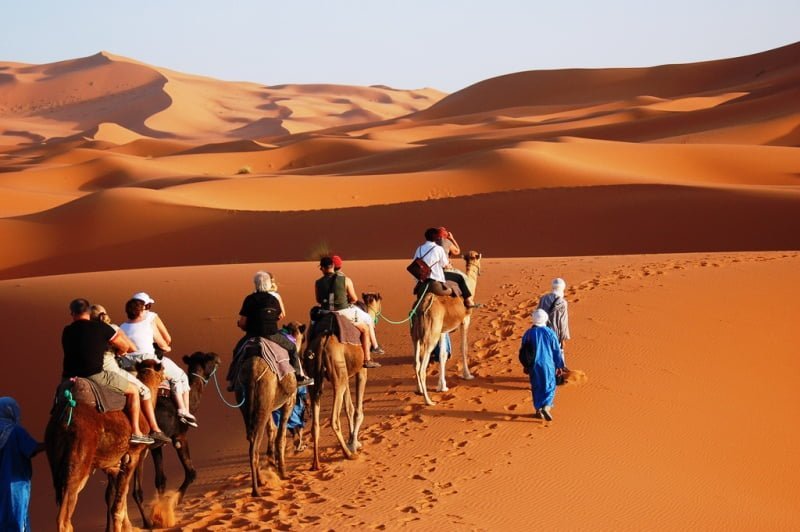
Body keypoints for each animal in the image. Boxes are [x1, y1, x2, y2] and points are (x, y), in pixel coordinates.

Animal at [45, 360, 164, 528]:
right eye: (162, 369)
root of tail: (64, 422)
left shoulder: (113, 466)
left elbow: (117, 499)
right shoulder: (133, 455)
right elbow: (119, 505)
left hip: (57, 466)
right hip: (78, 465)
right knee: (63, 518)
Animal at [132, 352, 220, 528]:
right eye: (210, 359)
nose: (217, 357)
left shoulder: (157, 446)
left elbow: (160, 480)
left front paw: (159, 513)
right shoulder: (180, 436)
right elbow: (191, 473)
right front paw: (171, 505)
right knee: (136, 491)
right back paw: (147, 524)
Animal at [234, 322, 306, 496]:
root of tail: (252, 371)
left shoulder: (270, 406)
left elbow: (272, 430)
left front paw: (272, 462)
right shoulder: (289, 401)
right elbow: (281, 436)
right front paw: (283, 472)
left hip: (248, 403)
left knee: (252, 440)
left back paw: (260, 482)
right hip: (265, 397)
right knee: (254, 444)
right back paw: (256, 489)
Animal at [306, 312, 368, 470]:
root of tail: (322, 342)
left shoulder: (346, 375)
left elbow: (349, 408)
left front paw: (353, 441)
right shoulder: (361, 370)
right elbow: (357, 410)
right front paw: (354, 444)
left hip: (314, 379)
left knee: (315, 425)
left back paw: (316, 464)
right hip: (338, 376)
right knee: (334, 419)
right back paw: (348, 454)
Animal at [412, 251, 482, 406]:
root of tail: (423, 305)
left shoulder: (443, 330)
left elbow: (443, 355)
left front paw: (442, 386)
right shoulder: (465, 321)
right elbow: (464, 348)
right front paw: (468, 375)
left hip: (416, 335)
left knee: (416, 363)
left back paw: (419, 390)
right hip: (430, 335)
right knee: (422, 369)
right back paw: (428, 401)